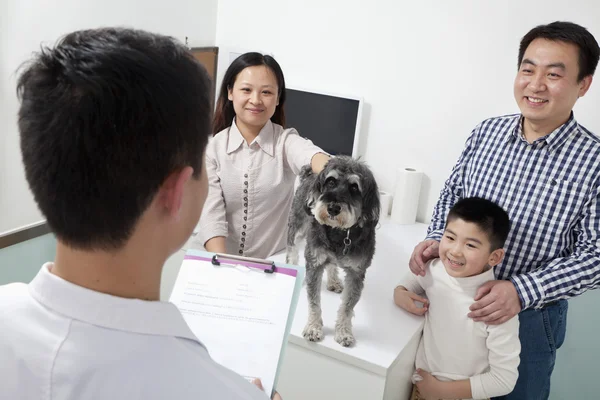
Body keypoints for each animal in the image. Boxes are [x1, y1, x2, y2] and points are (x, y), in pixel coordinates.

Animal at [286, 156, 380, 346]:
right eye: (330, 181)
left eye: (354, 187)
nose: (333, 208)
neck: (340, 232)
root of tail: (309, 174)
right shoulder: (314, 264)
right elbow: (314, 302)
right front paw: (313, 328)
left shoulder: (356, 273)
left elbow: (347, 307)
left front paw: (343, 332)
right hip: (297, 228)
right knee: (292, 249)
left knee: (331, 264)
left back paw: (333, 281)